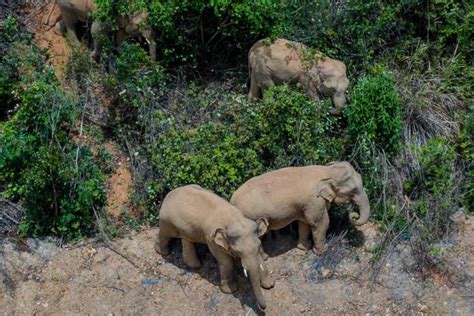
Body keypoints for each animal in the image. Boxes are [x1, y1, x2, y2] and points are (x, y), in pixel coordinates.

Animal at [230, 162, 370, 256]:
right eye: (354, 190)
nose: (354, 215)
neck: (326, 170)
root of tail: (231, 202)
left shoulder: (305, 204)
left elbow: (304, 223)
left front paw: (304, 248)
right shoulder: (314, 201)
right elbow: (321, 223)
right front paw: (321, 251)